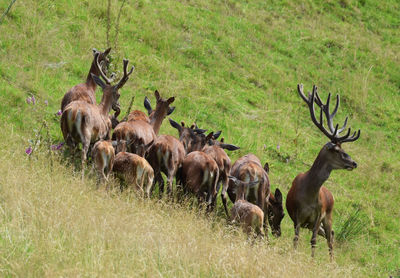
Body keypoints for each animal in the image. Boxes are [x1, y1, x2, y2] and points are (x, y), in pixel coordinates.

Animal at [286, 83, 360, 260]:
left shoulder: (318, 215)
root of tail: (330, 194)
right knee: (329, 235)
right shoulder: (298, 216)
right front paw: (294, 256)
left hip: (329, 216)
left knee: (330, 235)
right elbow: (296, 238)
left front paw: (312, 261)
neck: (308, 195)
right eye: (338, 150)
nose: (354, 163)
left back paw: (332, 261)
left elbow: (313, 241)